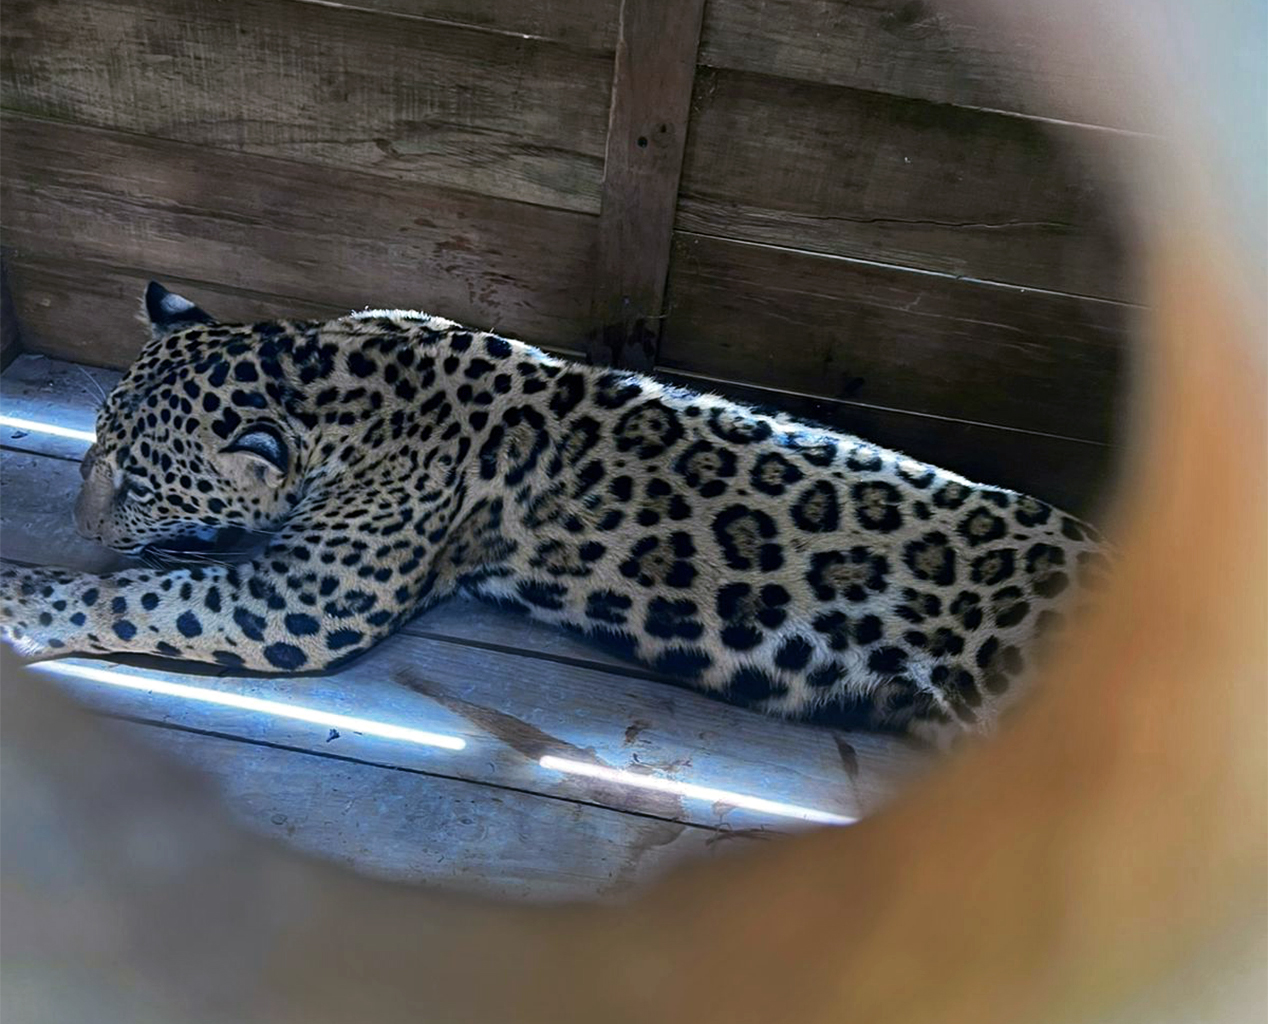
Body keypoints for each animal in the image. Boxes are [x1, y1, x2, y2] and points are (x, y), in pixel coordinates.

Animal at [0, 282, 1112, 742]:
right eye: (91, 445)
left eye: (140, 482)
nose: (83, 521)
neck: (335, 375)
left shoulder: (302, 599)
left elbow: (141, 597)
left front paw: (23, 596)